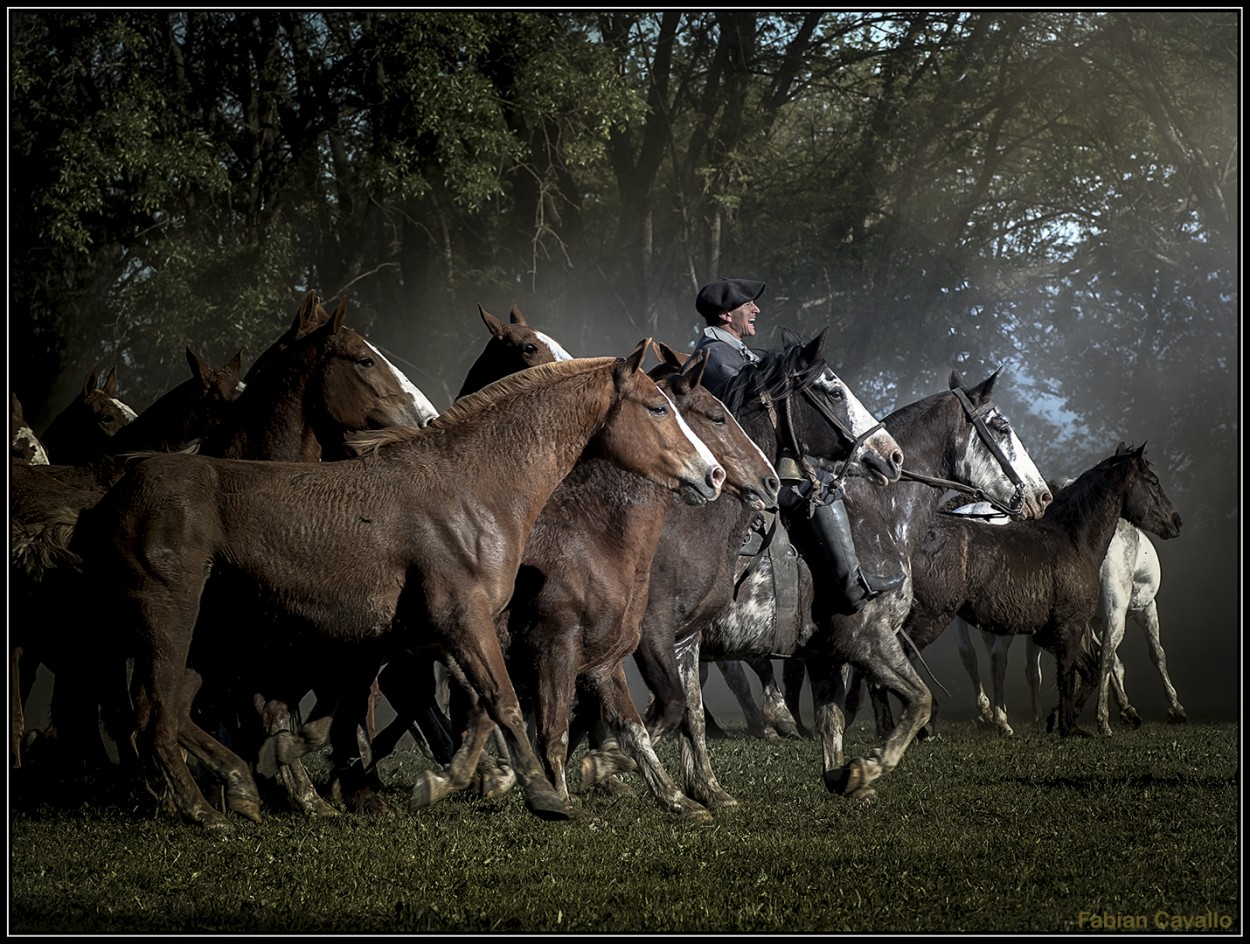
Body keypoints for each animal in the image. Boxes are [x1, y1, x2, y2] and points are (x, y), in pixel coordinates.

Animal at [73, 342, 730, 830]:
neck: (473, 488)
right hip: (168, 621)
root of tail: (114, 492)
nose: (714, 474)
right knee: (154, 714)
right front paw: (542, 797)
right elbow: (506, 706)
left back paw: (242, 788)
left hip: (205, 640)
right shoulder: (467, 623)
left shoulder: (428, 635)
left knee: (173, 712)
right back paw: (207, 811)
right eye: (657, 408)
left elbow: (424, 711)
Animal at [665, 370, 1055, 805]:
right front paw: (867, 767)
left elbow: (832, 722)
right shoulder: (870, 640)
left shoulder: (826, 656)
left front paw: (842, 775)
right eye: (1001, 427)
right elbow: (918, 700)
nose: (1042, 496)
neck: (878, 513)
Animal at [900, 442, 1180, 740]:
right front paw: (1165, 708)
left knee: (969, 656)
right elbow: (1147, 654)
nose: (1176, 521)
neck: (1073, 538)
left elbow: (1079, 665)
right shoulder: (1133, 611)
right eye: (1153, 481)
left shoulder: (1058, 624)